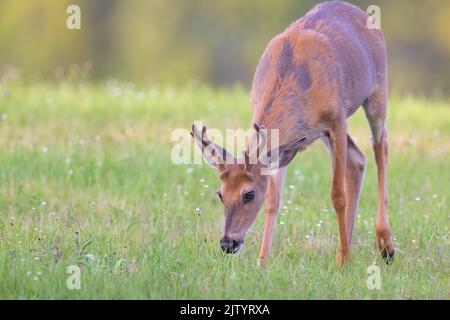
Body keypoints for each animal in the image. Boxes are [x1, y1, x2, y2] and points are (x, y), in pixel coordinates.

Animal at [190, 1, 394, 266]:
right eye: (220, 194)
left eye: (249, 194)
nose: (227, 243)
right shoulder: (285, 146)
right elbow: (272, 201)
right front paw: (262, 262)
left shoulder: (337, 119)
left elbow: (337, 195)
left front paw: (342, 262)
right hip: (323, 134)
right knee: (357, 159)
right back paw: (348, 244)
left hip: (377, 92)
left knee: (380, 148)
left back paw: (384, 245)